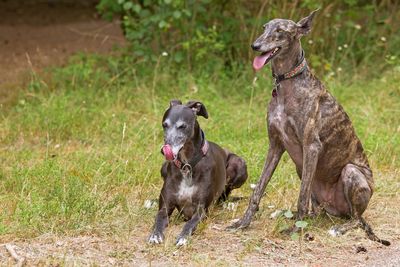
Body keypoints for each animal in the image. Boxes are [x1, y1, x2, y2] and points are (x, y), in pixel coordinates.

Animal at [148, 100, 247, 247]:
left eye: (182, 126)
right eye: (164, 125)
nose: (164, 150)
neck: (188, 166)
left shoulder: (201, 211)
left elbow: (189, 224)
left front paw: (183, 237)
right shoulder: (165, 208)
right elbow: (159, 220)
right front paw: (155, 235)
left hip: (239, 165)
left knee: (225, 194)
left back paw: (229, 204)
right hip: (164, 166)